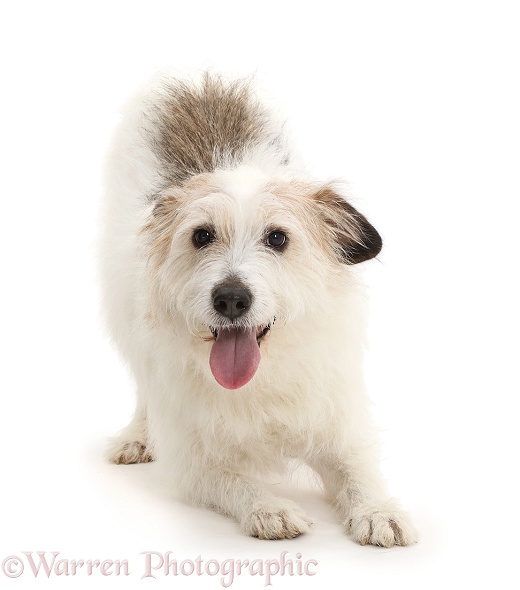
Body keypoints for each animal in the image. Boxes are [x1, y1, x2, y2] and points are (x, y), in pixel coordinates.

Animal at [100, 74, 418, 552]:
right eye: (201, 235)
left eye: (278, 238)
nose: (231, 298)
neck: (262, 375)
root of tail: (195, 77)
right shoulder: (193, 457)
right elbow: (233, 480)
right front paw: (269, 507)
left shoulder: (335, 420)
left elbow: (357, 470)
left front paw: (379, 510)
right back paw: (137, 435)